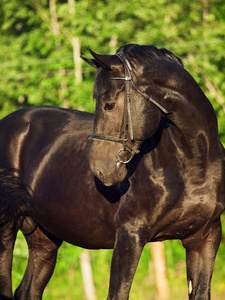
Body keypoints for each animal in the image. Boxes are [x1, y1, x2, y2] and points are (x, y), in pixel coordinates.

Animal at [0, 43, 224, 298]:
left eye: (109, 104)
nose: (100, 169)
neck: (194, 163)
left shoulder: (204, 238)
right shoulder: (130, 236)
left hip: (43, 238)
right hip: (7, 230)